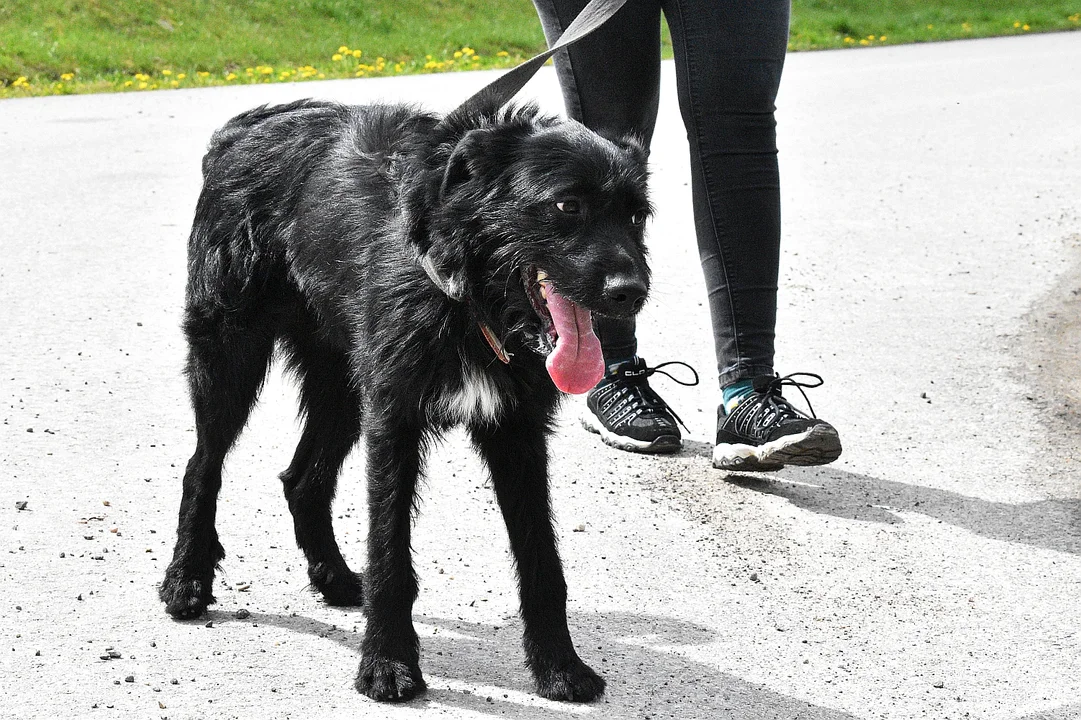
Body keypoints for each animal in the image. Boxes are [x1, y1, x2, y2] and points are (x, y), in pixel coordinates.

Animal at [158, 98, 648, 696]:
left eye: (637, 215)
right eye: (567, 205)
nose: (631, 293)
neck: (466, 298)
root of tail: (243, 127)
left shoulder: (517, 433)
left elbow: (542, 561)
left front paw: (559, 665)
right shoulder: (393, 421)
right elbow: (390, 552)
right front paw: (387, 662)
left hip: (343, 386)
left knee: (302, 480)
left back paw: (335, 578)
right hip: (230, 356)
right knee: (202, 466)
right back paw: (186, 578)